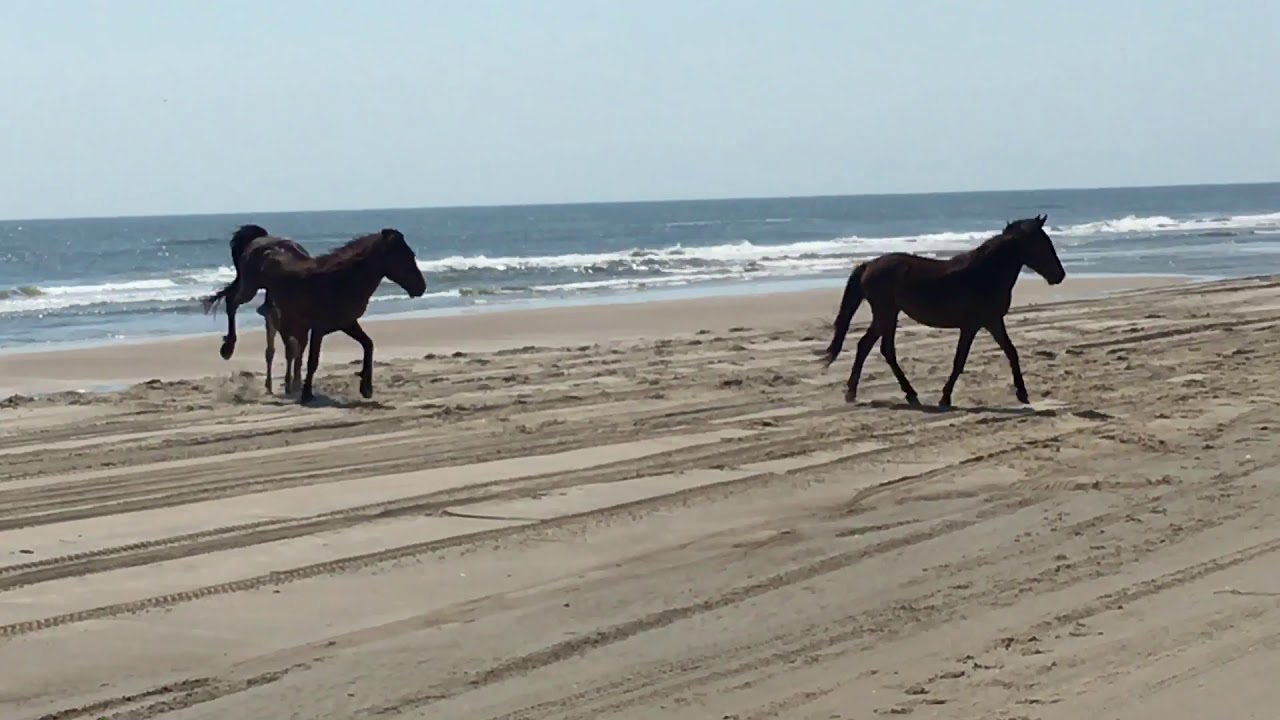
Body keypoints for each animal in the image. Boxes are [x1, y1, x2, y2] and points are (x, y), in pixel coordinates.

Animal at [229, 228, 427, 404]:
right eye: (403, 256)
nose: (421, 287)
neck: (339, 280)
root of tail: (260, 241)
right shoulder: (318, 329)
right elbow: (312, 361)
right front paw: (307, 394)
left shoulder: (347, 323)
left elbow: (368, 344)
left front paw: (366, 388)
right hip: (250, 289)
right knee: (231, 303)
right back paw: (228, 347)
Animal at [818, 214, 1066, 409]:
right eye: (1042, 243)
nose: (1060, 275)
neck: (985, 274)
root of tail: (868, 265)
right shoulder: (971, 326)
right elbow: (959, 360)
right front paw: (945, 398)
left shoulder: (993, 321)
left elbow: (1011, 351)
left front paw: (1022, 393)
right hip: (885, 314)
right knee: (867, 346)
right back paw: (857, 392)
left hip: (890, 314)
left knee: (882, 349)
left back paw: (906, 394)